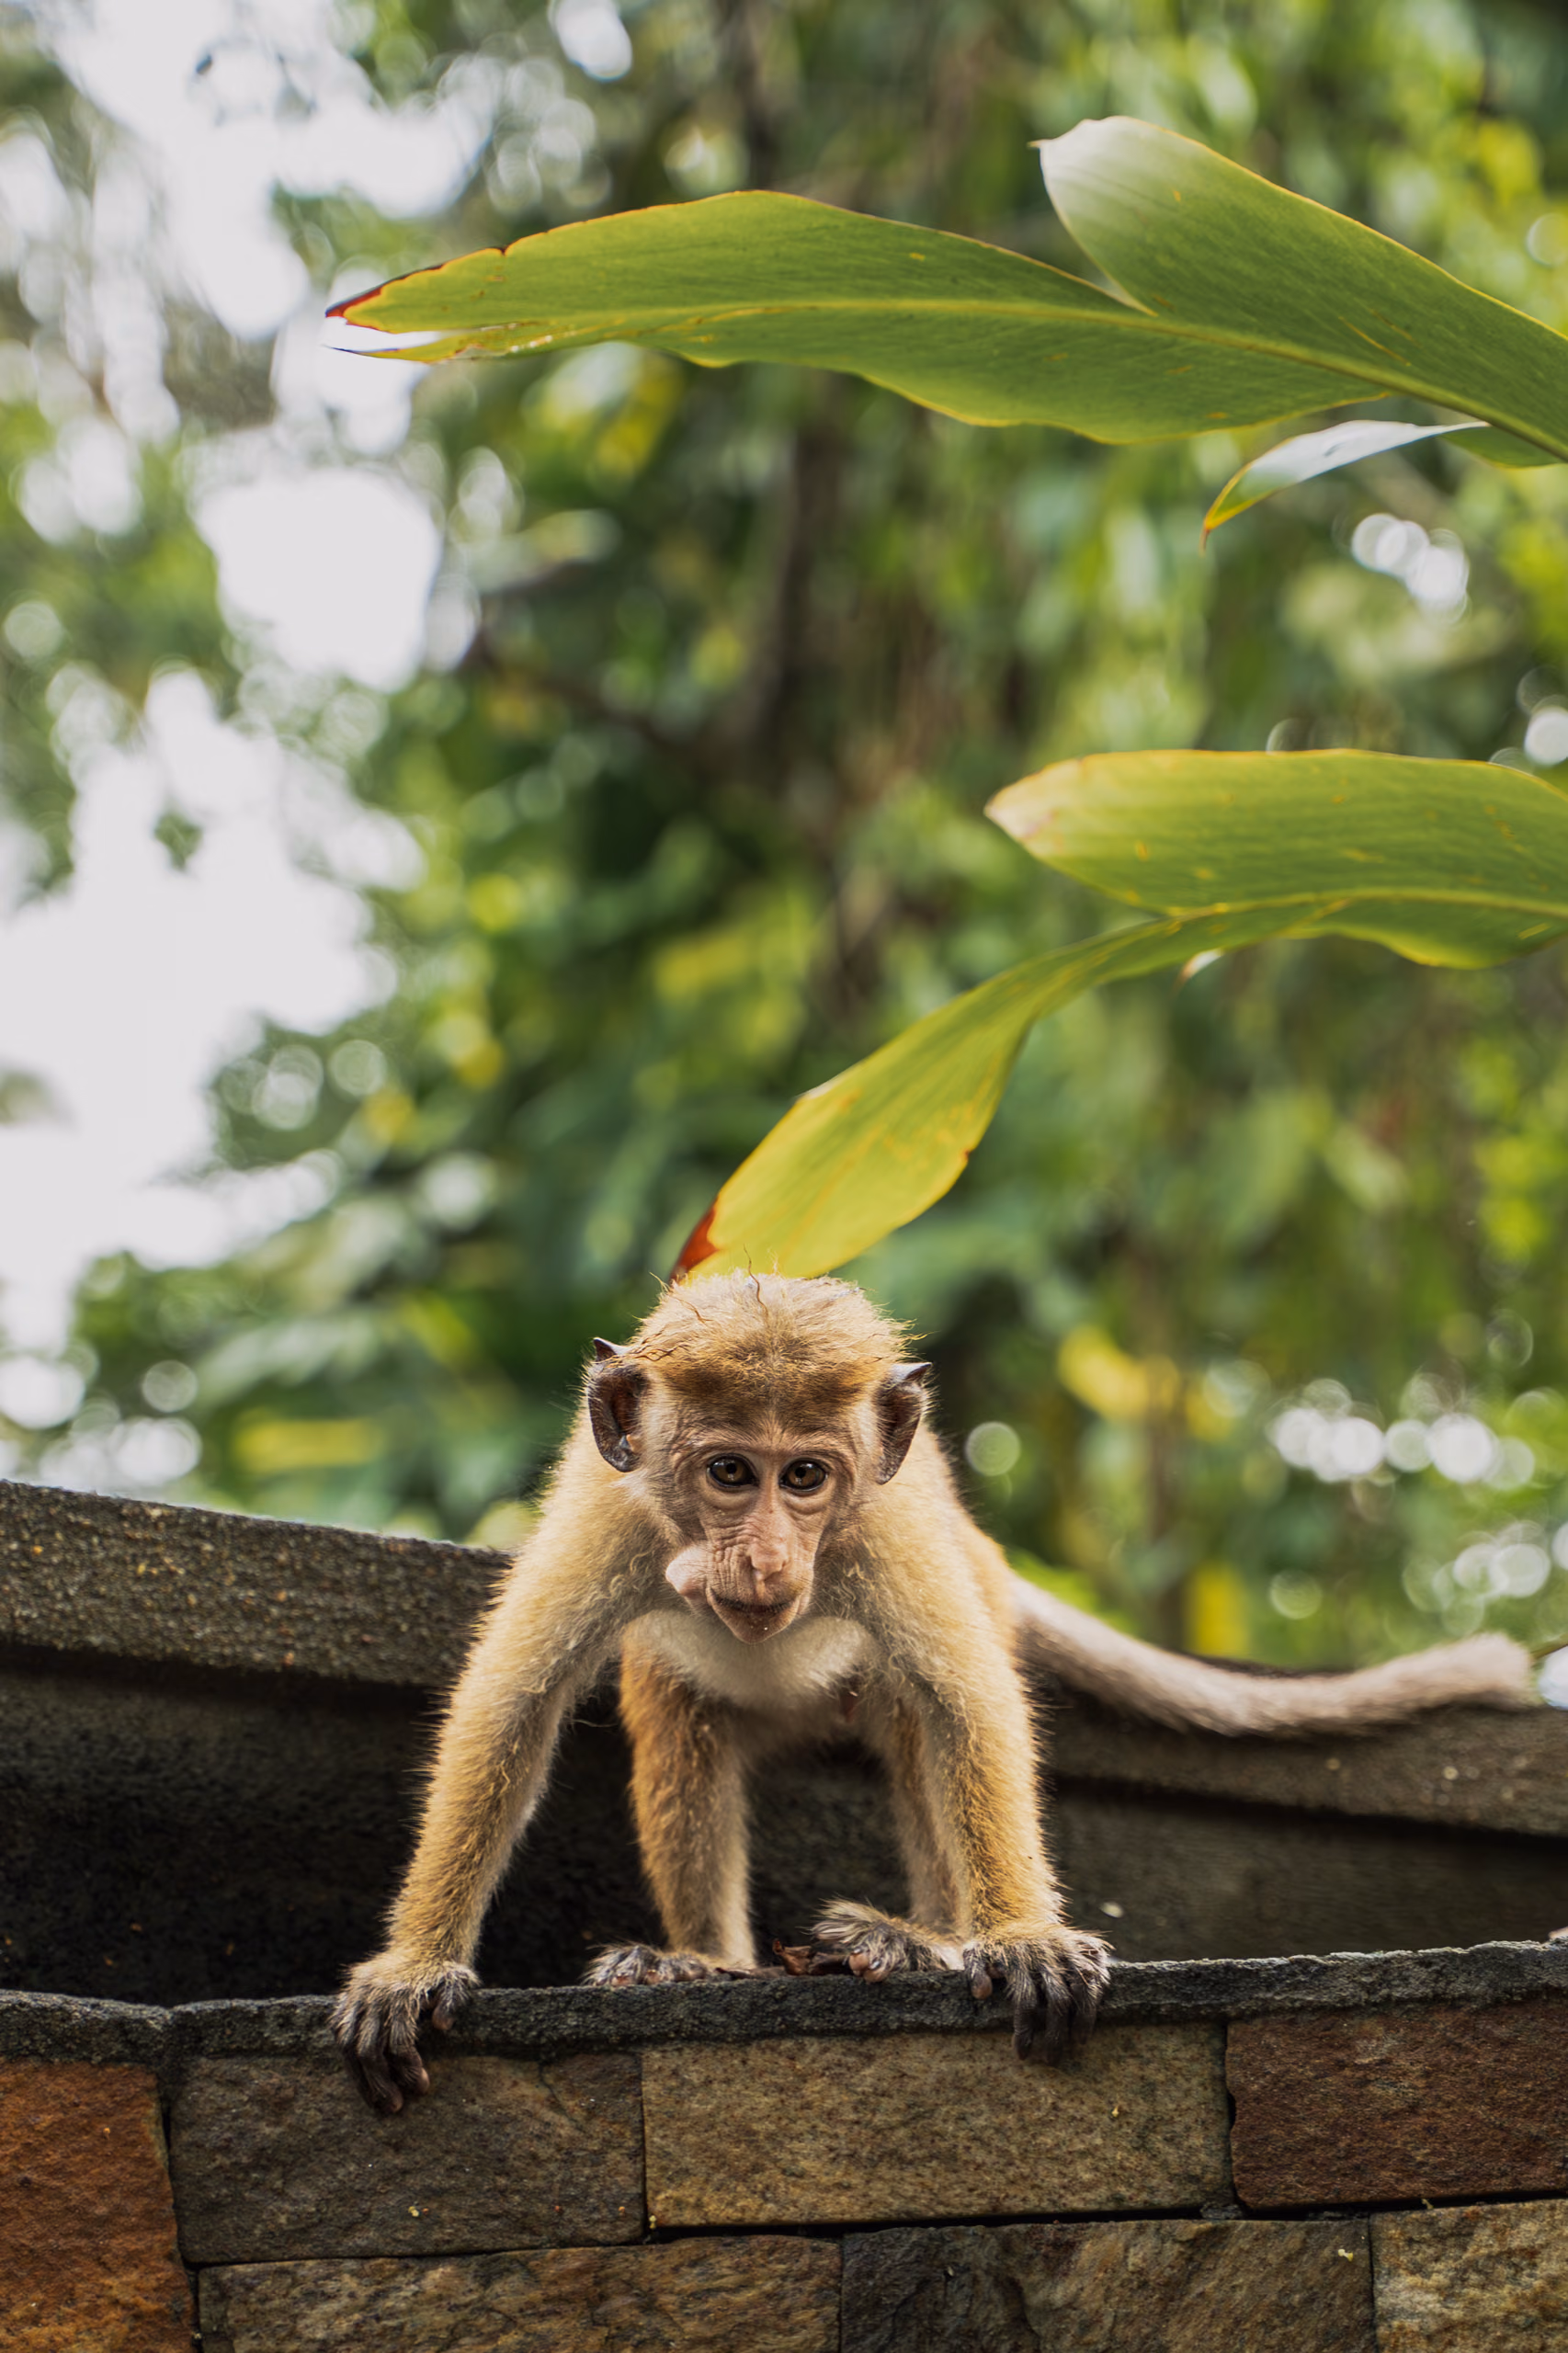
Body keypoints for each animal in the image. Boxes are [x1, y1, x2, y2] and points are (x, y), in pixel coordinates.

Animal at [332, 1272, 1535, 2114]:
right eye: (727, 1472)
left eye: (803, 1477)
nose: (764, 1559)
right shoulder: (606, 1511)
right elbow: (509, 1708)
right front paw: (414, 1969)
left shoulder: (884, 1523)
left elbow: (968, 1710)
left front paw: (1018, 1939)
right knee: (678, 1710)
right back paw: (701, 1960)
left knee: (913, 1716)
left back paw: (918, 1941)